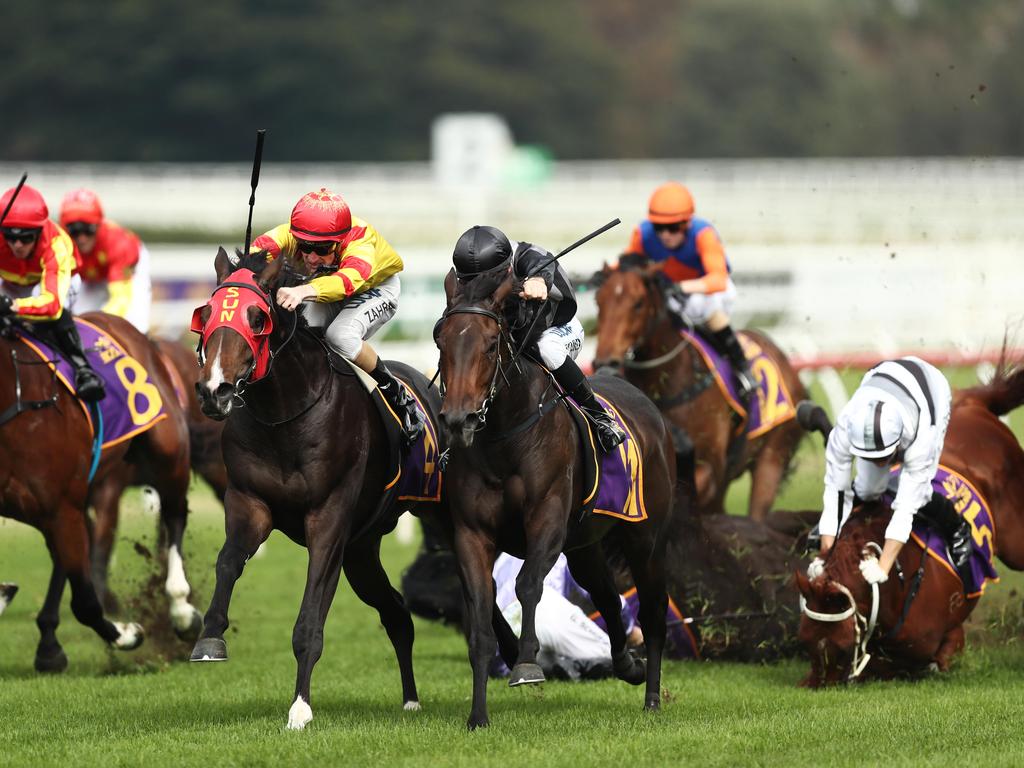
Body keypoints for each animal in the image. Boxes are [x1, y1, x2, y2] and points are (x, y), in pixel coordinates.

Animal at [0, 309, 201, 671]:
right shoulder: (61, 506)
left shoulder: (62, 505)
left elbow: (85, 602)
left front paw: (128, 634)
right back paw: (48, 642)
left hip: (169, 451)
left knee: (175, 514)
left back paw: (181, 609)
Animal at [188, 249, 440, 729]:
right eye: (205, 315)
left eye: (257, 318)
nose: (215, 391)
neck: (284, 416)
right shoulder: (250, 503)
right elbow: (228, 561)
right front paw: (209, 639)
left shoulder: (329, 519)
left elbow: (309, 620)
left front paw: (300, 708)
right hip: (362, 551)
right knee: (397, 613)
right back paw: (412, 699)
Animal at [436, 268, 675, 729]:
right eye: (441, 341)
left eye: (490, 344)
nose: (458, 419)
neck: (503, 437)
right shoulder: (471, 534)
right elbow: (480, 624)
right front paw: (478, 716)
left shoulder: (546, 519)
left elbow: (528, 584)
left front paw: (528, 664)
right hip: (584, 546)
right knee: (606, 597)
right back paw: (627, 665)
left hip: (647, 538)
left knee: (653, 611)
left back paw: (653, 696)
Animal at [794, 364, 1024, 688]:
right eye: (804, 641)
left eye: (841, 647)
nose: (814, 686)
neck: (894, 590)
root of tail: (976, 405)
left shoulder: (944, 637)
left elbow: (935, 660)